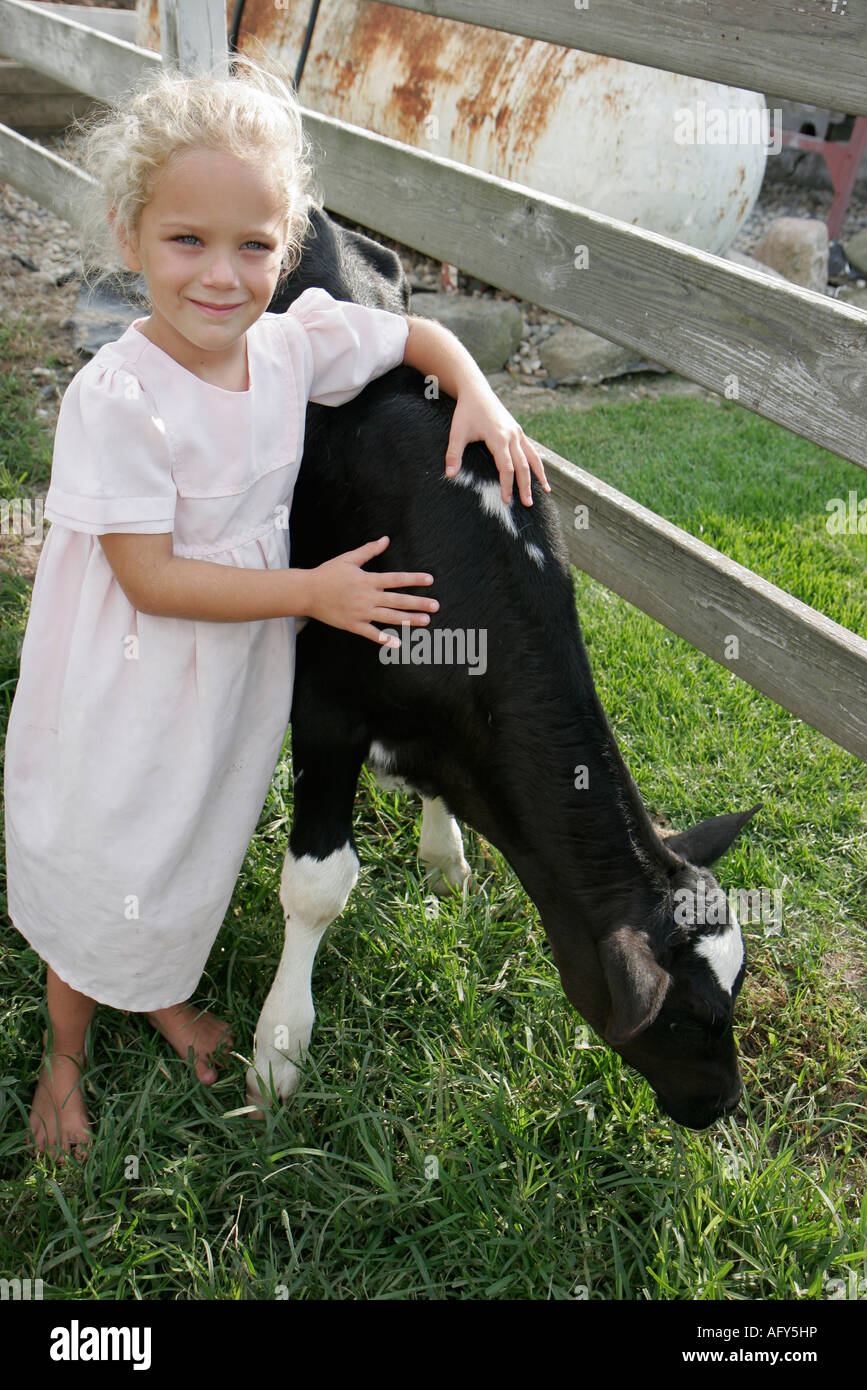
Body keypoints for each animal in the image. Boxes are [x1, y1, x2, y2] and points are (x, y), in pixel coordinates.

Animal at [250, 214, 755, 1128]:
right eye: (689, 1015)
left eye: (737, 988)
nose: (721, 1104)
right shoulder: (327, 702)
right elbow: (316, 885)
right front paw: (278, 1050)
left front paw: (445, 857)